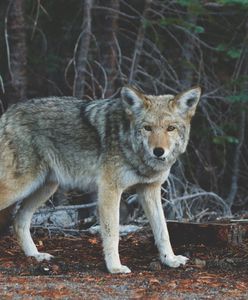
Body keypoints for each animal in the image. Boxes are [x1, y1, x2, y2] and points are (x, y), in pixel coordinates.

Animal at [0, 85, 201, 274]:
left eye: (170, 128)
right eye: (147, 128)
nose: (158, 151)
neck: (129, 143)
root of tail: (7, 113)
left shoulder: (149, 190)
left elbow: (163, 230)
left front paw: (170, 260)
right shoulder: (109, 189)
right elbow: (112, 233)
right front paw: (115, 268)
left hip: (46, 187)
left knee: (18, 221)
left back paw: (35, 255)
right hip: (21, 187)